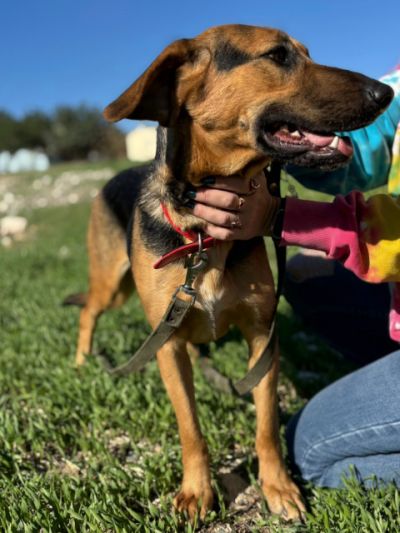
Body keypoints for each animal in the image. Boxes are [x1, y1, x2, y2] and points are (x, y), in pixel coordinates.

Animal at [65, 24, 393, 521]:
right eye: (278, 55)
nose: (386, 92)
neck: (204, 236)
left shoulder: (262, 336)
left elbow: (266, 425)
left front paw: (278, 487)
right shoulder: (167, 348)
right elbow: (190, 428)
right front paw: (196, 491)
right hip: (111, 285)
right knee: (88, 313)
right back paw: (83, 360)